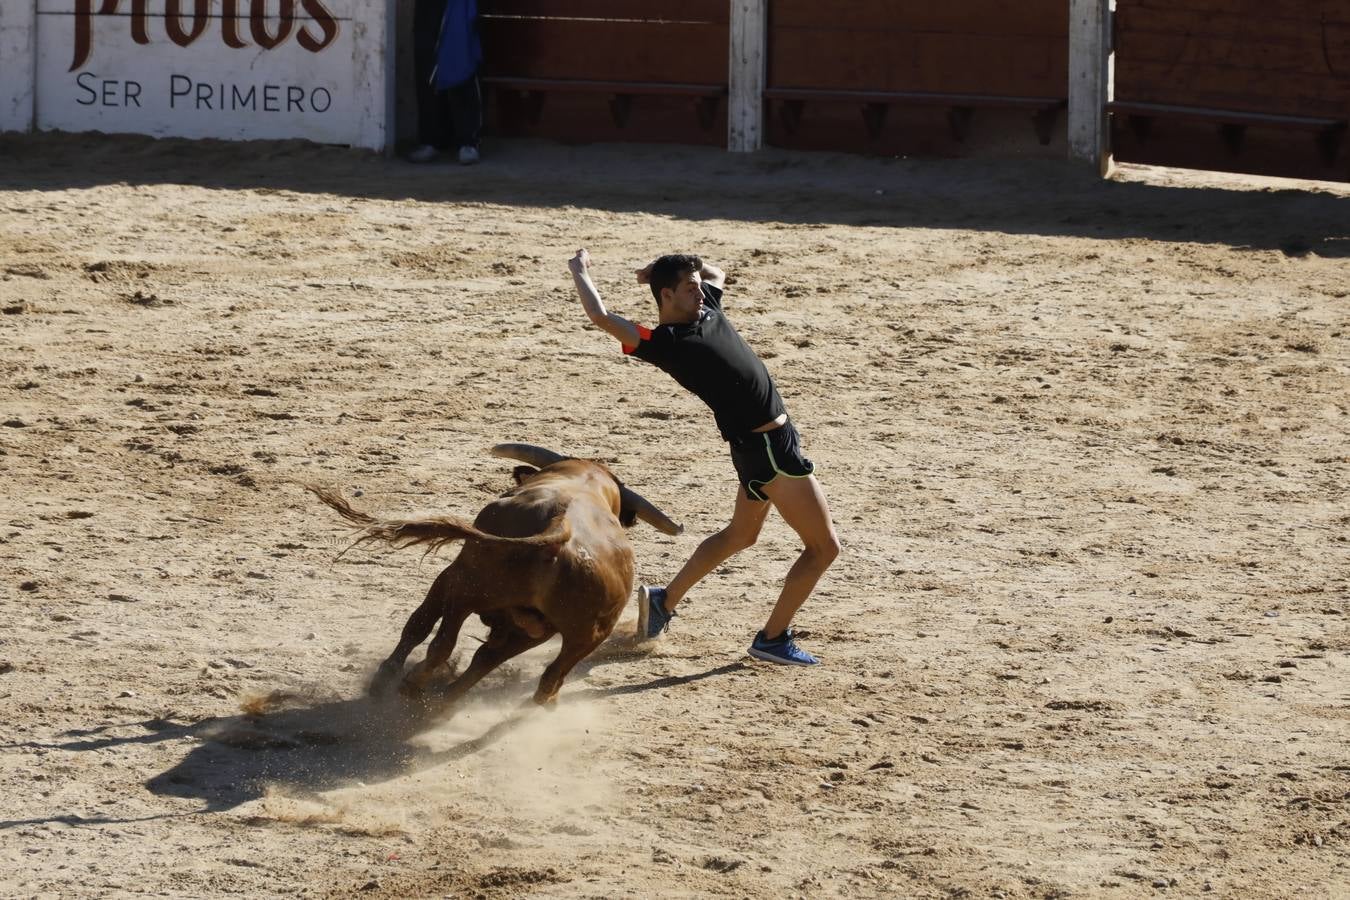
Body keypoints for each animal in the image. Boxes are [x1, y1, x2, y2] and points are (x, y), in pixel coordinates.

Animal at [310, 447, 680, 707]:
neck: (586, 484)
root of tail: (560, 531)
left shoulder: (448, 577)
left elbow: (419, 624)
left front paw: (385, 677)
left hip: (466, 586)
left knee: (444, 644)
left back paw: (412, 685)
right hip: (572, 634)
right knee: (532, 672)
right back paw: (446, 702)